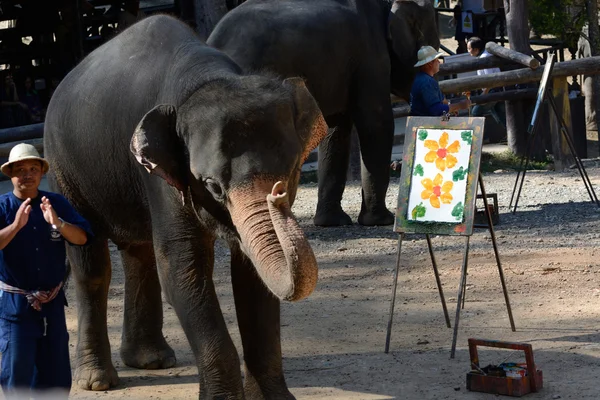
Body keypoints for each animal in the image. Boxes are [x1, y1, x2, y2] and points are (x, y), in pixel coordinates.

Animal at [44, 14, 328, 398]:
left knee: (139, 253)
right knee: (92, 263)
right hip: (63, 168)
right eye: (211, 185)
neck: (205, 77)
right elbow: (182, 265)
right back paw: (97, 381)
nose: (278, 195)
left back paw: (151, 360)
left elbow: (253, 272)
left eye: (294, 170)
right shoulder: (158, 173)